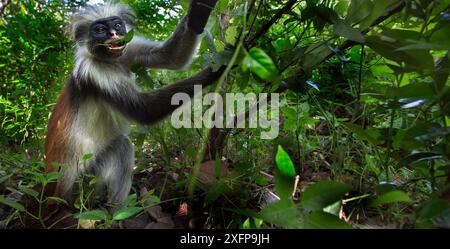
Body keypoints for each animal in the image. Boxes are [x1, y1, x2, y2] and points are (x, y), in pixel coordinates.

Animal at [44, 0, 221, 205]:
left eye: (117, 25)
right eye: (100, 29)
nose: (114, 34)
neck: (111, 62)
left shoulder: (127, 48)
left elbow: (168, 57)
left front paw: (200, 10)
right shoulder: (95, 72)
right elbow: (143, 111)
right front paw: (214, 70)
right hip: (82, 188)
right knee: (123, 147)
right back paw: (118, 209)